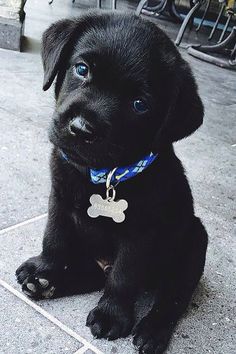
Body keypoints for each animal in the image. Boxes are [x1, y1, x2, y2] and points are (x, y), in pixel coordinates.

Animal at [16, 11, 207, 354]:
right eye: (82, 69)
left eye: (140, 104)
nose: (81, 129)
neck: (103, 174)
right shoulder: (58, 199)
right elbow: (54, 237)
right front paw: (44, 267)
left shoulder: (141, 233)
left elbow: (124, 275)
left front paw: (111, 315)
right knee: (92, 275)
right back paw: (47, 283)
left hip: (194, 244)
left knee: (172, 296)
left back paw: (153, 330)